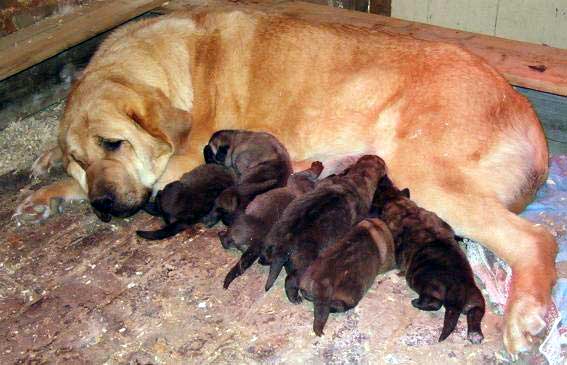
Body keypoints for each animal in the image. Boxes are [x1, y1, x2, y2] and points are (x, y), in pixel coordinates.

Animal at [260, 154, 386, 302]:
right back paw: (295, 297)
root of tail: (283, 245)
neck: (359, 176)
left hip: (269, 243)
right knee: (290, 280)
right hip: (304, 266)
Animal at [372, 175, 488, 342]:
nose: (383, 176)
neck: (400, 204)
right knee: (475, 314)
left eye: (376, 193)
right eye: (390, 185)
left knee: (435, 303)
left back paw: (417, 302)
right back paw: (475, 334)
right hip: (476, 300)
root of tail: (458, 293)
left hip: (422, 283)